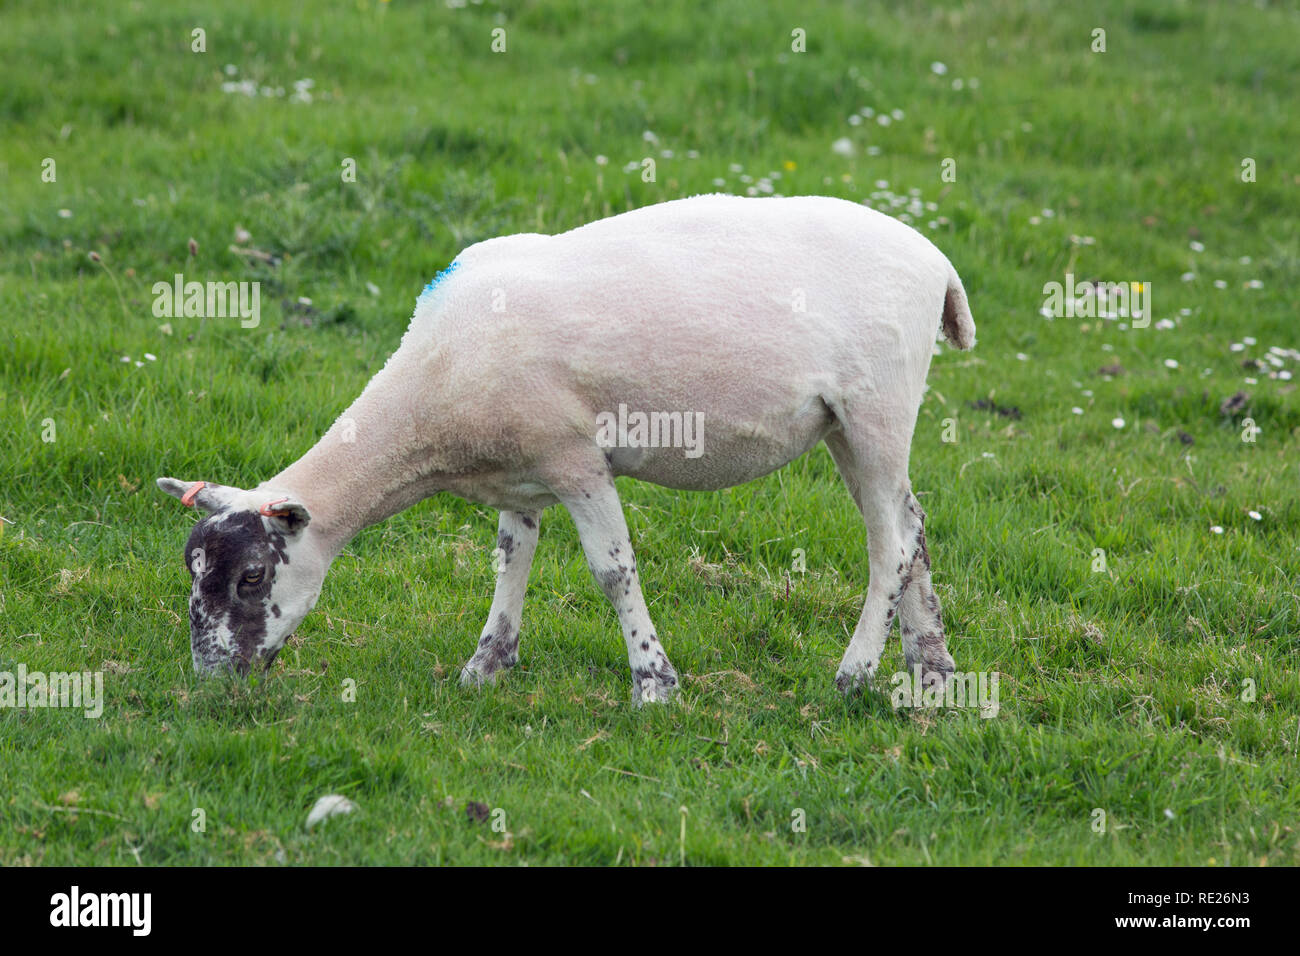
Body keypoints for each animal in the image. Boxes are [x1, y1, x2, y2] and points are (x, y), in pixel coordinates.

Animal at [157, 192, 977, 702]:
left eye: (253, 578)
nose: (213, 680)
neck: (427, 411)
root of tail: (938, 264)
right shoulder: (521, 473)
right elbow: (509, 561)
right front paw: (486, 667)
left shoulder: (576, 460)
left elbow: (612, 572)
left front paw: (654, 684)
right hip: (848, 425)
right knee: (914, 526)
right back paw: (932, 671)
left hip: (877, 406)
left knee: (889, 544)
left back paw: (856, 674)